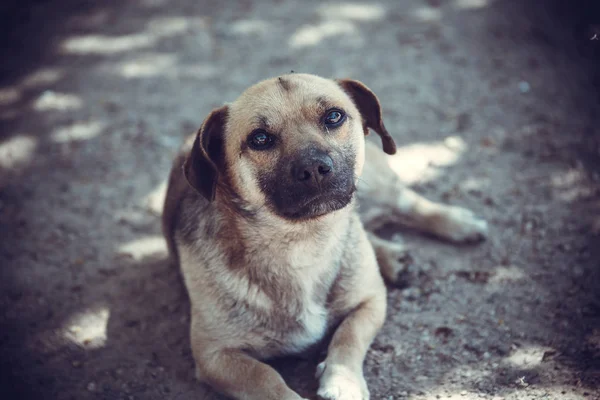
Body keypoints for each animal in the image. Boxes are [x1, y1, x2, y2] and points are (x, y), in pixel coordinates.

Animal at [161, 72, 488, 400]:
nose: (314, 168)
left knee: (403, 201)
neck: (303, 241)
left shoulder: (371, 301)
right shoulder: (214, 355)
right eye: (260, 138)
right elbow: (265, 378)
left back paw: (457, 223)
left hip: (377, 186)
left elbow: (348, 336)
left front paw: (343, 380)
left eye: (333, 116)